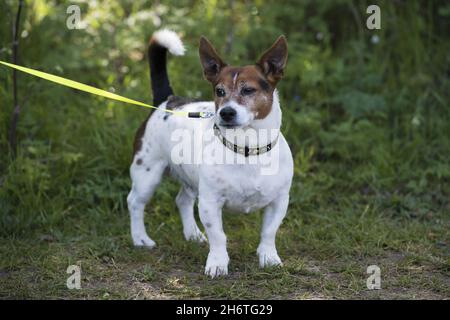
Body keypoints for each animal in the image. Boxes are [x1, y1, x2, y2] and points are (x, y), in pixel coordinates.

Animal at [128, 30, 294, 278]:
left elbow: (269, 232)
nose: (226, 113)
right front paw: (217, 263)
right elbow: (218, 236)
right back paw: (140, 238)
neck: (246, 149)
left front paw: (269, 258)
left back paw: (193, 234)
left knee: (182, 200)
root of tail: (167, 100)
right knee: (135, 202)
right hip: (147, 174)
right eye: (219, 91)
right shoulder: (210, 202)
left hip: (189, 178)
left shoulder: (279, 201)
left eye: (248, 90)